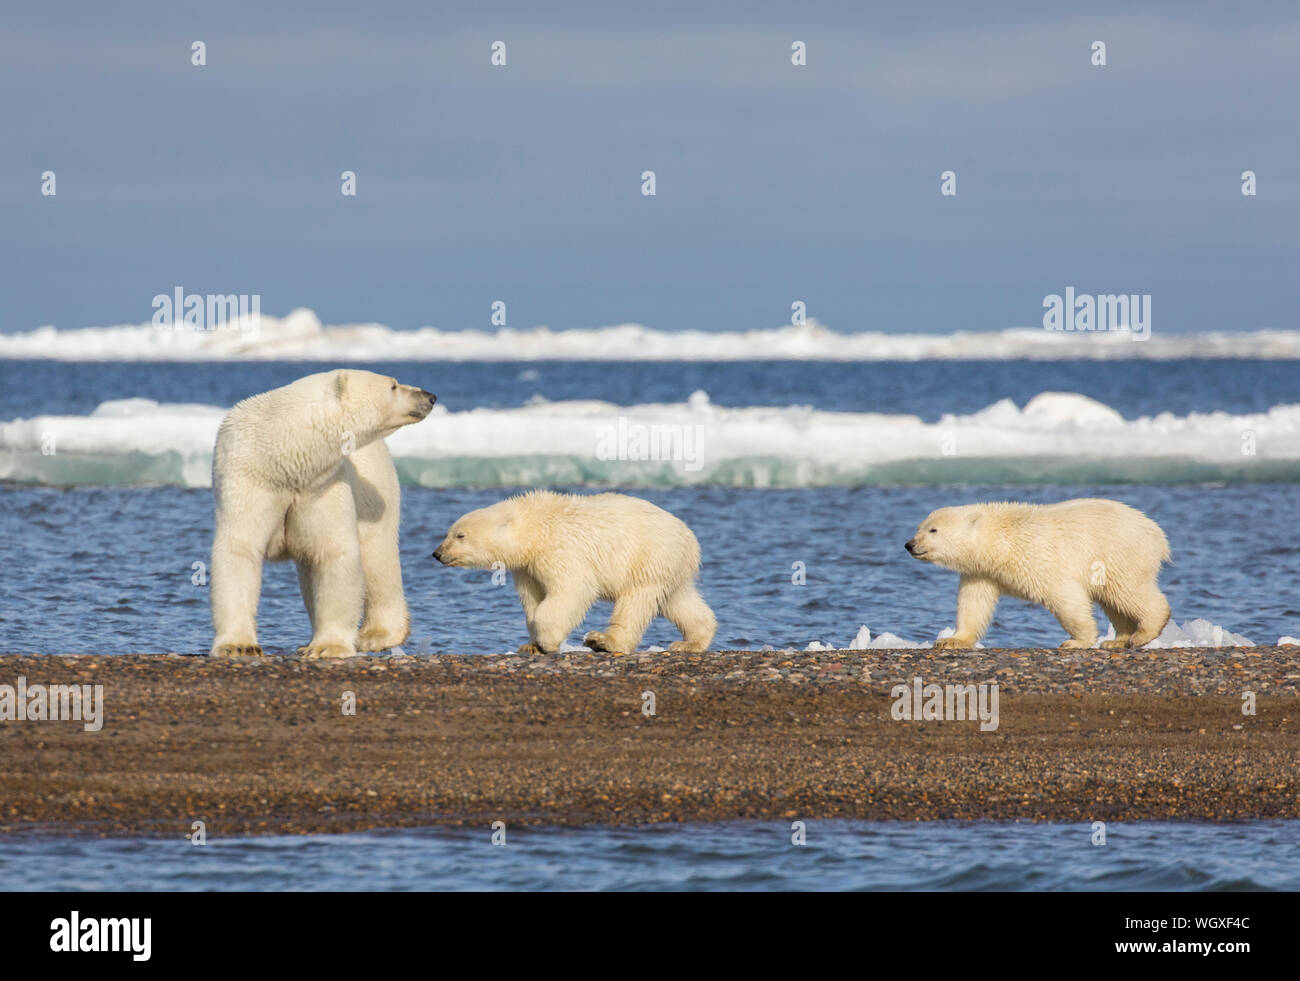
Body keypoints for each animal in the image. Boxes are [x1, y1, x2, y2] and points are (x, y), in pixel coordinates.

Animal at [208, 369, 436, 660]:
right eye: (394, 386)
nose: (430, 396)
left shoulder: (322, 485)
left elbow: (333, 552)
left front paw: (327, 647)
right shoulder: (249, 482)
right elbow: (239, 551)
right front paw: (238, 646)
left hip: (374, 493)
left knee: (377, 557)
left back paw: (376, 635)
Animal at [436, 488, 722, 654]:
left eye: (460, 535)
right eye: (449, 532)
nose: (437, 553)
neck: (534, 528)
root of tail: (689, 538)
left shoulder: (561, 551)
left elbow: (571, 591)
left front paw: (547, 642)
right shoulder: (527, 568)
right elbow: (532, 599)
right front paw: (530, 645)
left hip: (647, 557)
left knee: (636, 602)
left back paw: (604, 641)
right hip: (670, 567)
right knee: (679, 601)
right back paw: (691, 642)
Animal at [909, 498, 1175, 652]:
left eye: (933, 530)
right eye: (919, 528)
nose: (909, 545)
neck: (1000, 541)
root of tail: (1158, 534)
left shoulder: (1036, 557)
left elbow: (1065, 597)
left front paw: (1076, 641)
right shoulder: (982, 572)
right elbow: (974, 603)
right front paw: (951, 640)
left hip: (1118, 555)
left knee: (1129, 591)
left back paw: (1142, 634)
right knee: (1114, 601)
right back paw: (1117, 639)